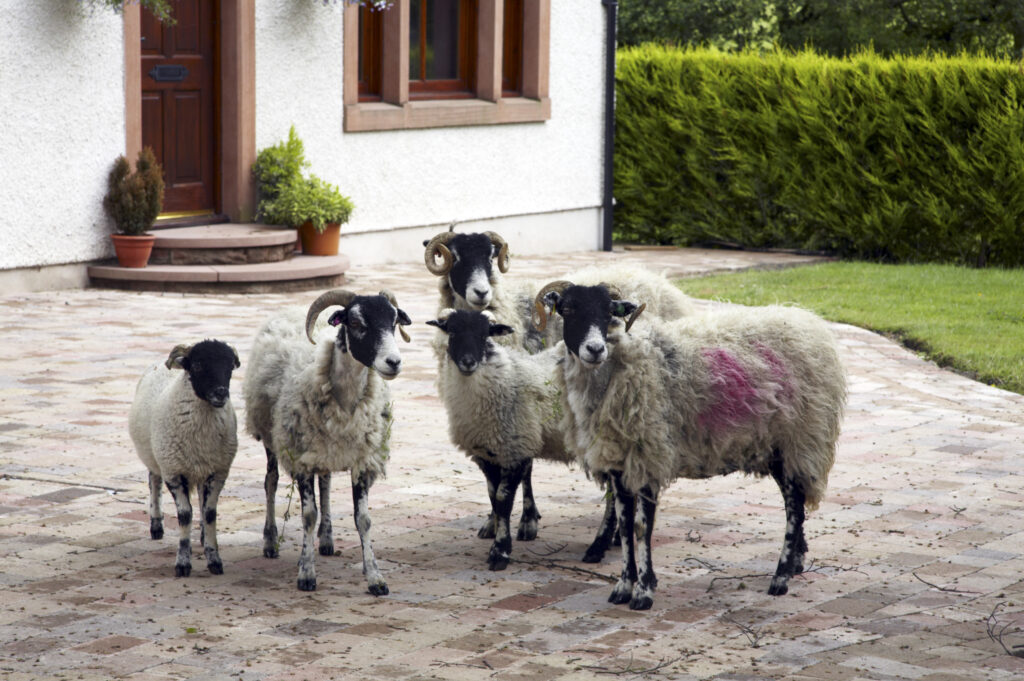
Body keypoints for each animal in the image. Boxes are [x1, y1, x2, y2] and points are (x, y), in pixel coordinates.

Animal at [128, 340, 241, 578]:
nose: (221, 393)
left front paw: (214, 558)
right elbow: (185, 515)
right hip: (156, 456)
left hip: (198, 468)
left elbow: (209, 513)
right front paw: (182, 563)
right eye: (197, 365)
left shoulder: (217, 472)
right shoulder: (173, 472)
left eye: (229, 366)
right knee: (153, 481)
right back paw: (156, 525)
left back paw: (201, 535)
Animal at [243, 288, 411, 593]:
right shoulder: (301, 460)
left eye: (394, 322)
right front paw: (306, 573)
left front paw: (375, 577)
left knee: (326, 483)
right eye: (355, 322)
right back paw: (270, 541)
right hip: (272, 437)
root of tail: (290, 308)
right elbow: (308, 515)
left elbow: (363, 519)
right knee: (270, 482)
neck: (344, 401)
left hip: (324, 450)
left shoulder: (362, 460)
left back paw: (327, 538)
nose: (394, 362)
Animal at [423, 227, 695, 554]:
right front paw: (493, 523)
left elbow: (523, 468)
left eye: (490, 257)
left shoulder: (523, 405)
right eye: (457, 257)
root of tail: (660, 280)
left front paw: (526, 522)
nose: (481, 293)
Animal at [535, 281, 846, 609]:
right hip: (778, 446)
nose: (596, 349)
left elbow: (641, 527)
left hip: (799, 439)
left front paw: (643, 591)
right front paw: (622, 587)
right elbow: (623, 525)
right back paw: (795, 563)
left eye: (610, 313)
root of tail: (811, 324)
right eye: (568, 309)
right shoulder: (619, 461)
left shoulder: (649, 455)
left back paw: (781, 577)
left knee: (794, 506)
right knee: (794, 500)